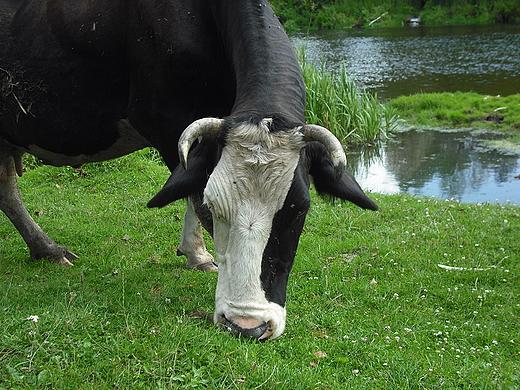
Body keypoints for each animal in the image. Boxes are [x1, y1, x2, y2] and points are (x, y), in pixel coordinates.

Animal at [2, 0, 380, 340]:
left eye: (299, 210)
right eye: (215, 208)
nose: (248, 326)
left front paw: (195, 254)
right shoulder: (162, 119)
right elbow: (192, 190)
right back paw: (50, 250)